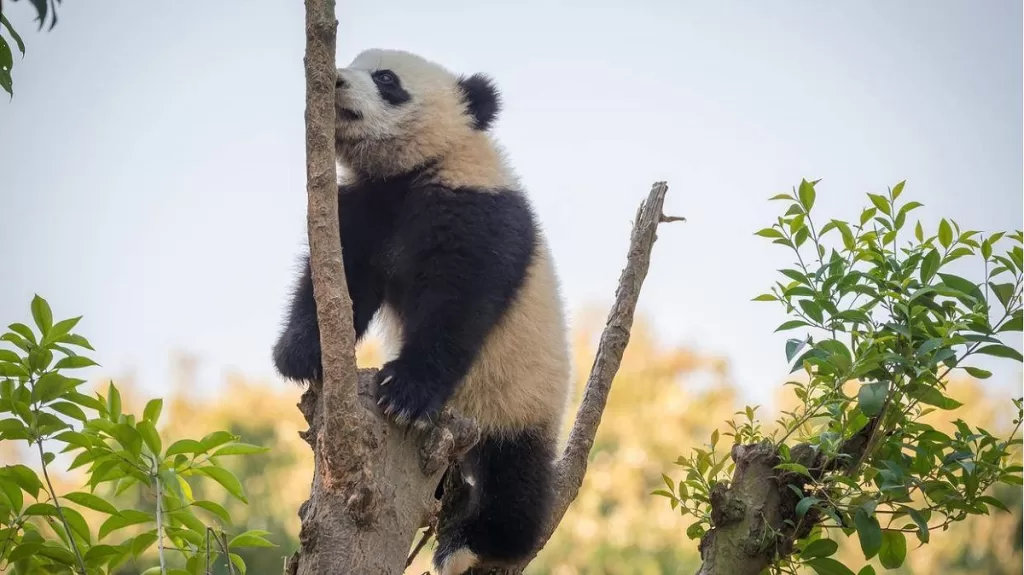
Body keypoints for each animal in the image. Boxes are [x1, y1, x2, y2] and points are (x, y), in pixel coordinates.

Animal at [271, 48, 572, 574]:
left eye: (386, 78)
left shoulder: (476, 206)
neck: (410, 170)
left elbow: (457, 303)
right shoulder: (364, 207)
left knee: (515, 475)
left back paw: (474, 542)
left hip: (521, 393)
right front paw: (301, 354)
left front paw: (405, 392)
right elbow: (340, 281)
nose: (334, 80)